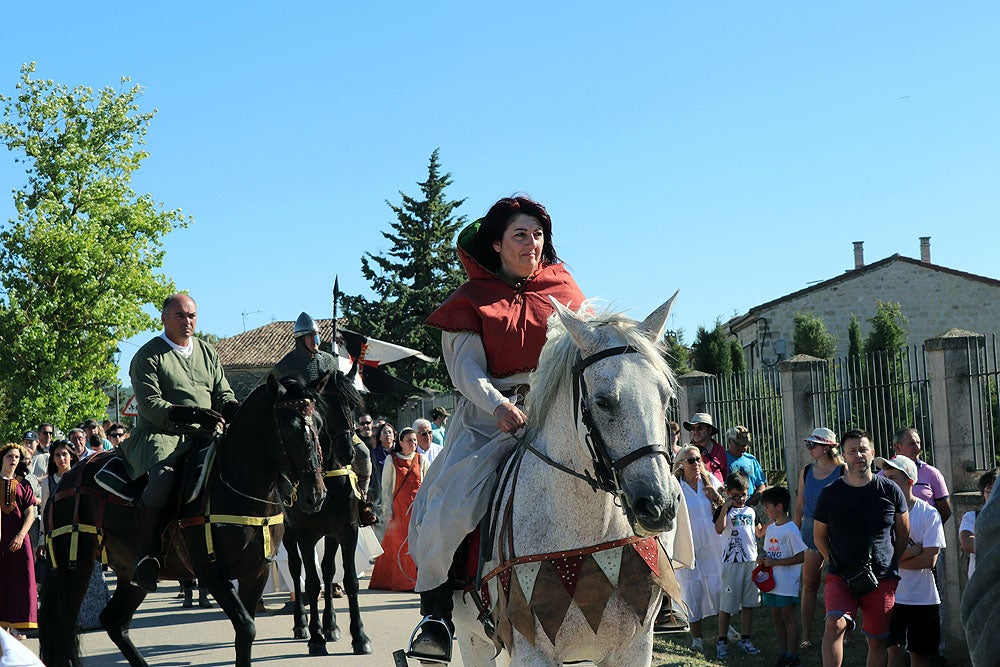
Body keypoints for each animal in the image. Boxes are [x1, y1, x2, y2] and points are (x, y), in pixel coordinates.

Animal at [40, 376, 328, 667]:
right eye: (289, 428)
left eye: (319, 424)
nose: (315, 495)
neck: (237, 488)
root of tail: (67, 479)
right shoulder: (212, 572)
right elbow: (247, 627)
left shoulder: (255, 573)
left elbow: (244, 636)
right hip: (75, 568)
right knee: (63, 630)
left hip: (128, 573)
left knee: (114, 622)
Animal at [456, 296, 696, 667]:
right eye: (603, 401)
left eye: (666, 396)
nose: (659, 506)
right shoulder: (530, 651)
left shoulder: (633, 647)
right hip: (472, 640)